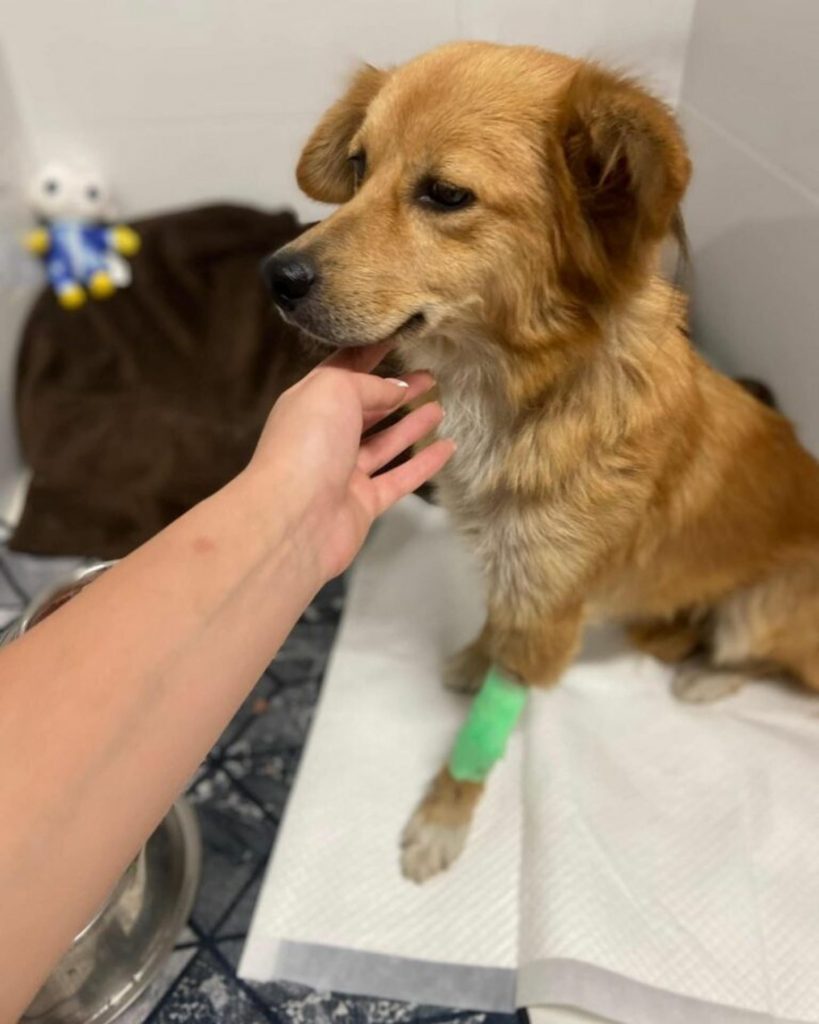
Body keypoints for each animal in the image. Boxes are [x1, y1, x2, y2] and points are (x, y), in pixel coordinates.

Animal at [264, 44, 819, 884]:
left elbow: (486, 728)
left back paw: (711, 673)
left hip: (762, 607)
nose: (276, 276)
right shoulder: (520, 567)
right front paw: (475, 654)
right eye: (358, 166)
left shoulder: (552, 603)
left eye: (445, 195)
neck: (515, 391)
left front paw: (442, 817)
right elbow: (497, 622)